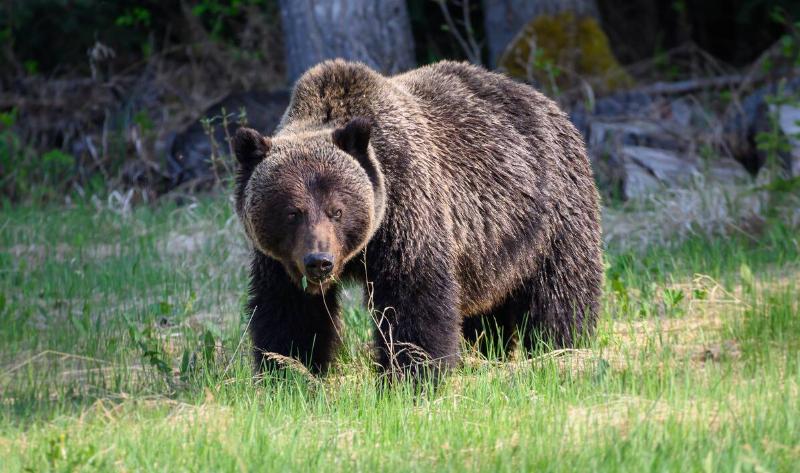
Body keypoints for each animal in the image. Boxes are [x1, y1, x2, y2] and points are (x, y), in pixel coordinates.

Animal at [232, 59, 603, 378]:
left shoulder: (408, 210)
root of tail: (548, 103)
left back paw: (561, 350)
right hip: (491, 253)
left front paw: (411, 375)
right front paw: (290, 373)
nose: (319, 261)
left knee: (559, 292)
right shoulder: (279, 260)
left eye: (337, 210)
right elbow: (289, 312)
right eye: (292, 212)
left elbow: (413, 298)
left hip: (549, 216)